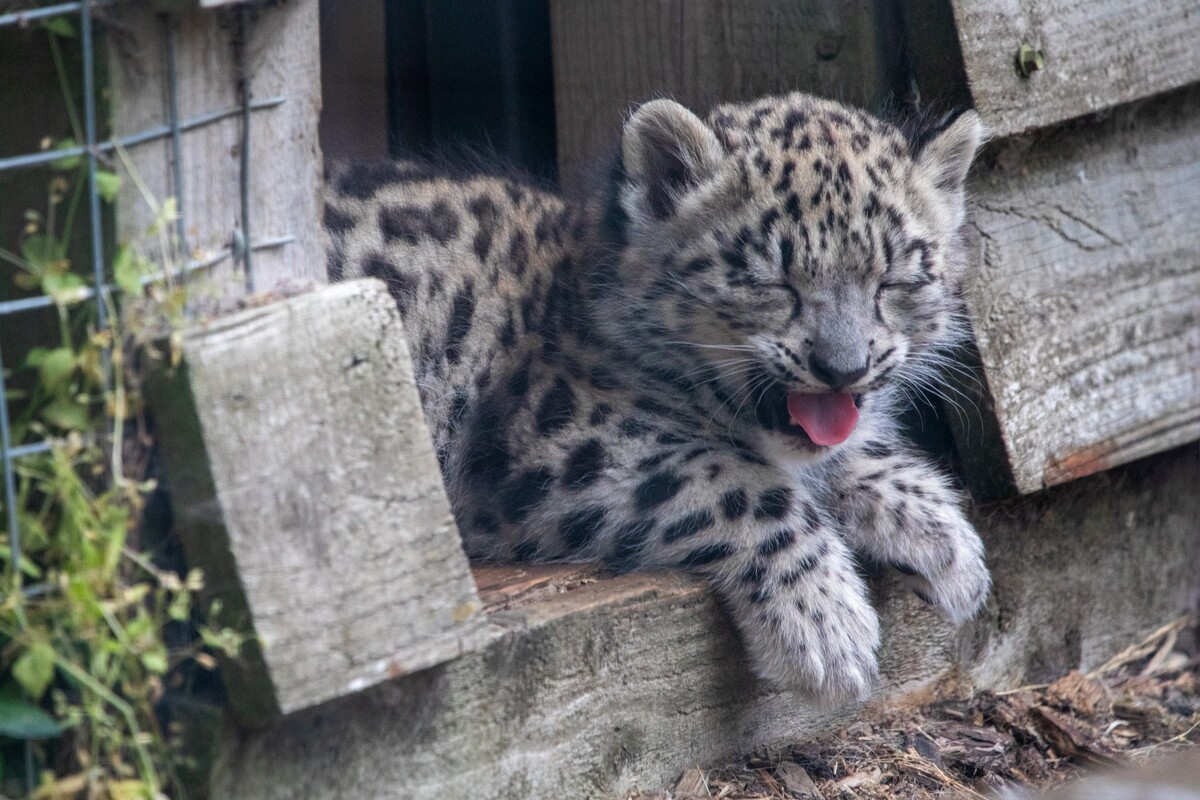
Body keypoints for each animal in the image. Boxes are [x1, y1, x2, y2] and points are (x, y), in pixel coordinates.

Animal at [324, 91, 991, 703]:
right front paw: (827, 625)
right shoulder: (557, 437)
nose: (843, 368)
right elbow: (735, 480)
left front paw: (946, 542)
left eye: (893, 282)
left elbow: (844, 455)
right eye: (773, 282)